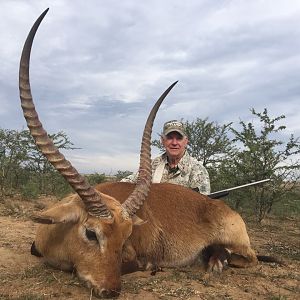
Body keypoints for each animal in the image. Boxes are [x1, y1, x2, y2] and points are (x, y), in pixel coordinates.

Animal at [21, 8, 270, 298]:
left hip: (240, 245)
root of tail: (221, 206)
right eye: (91, 233)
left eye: (125, 236)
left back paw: (216, 262)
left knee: (248, 258)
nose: (111, 290)